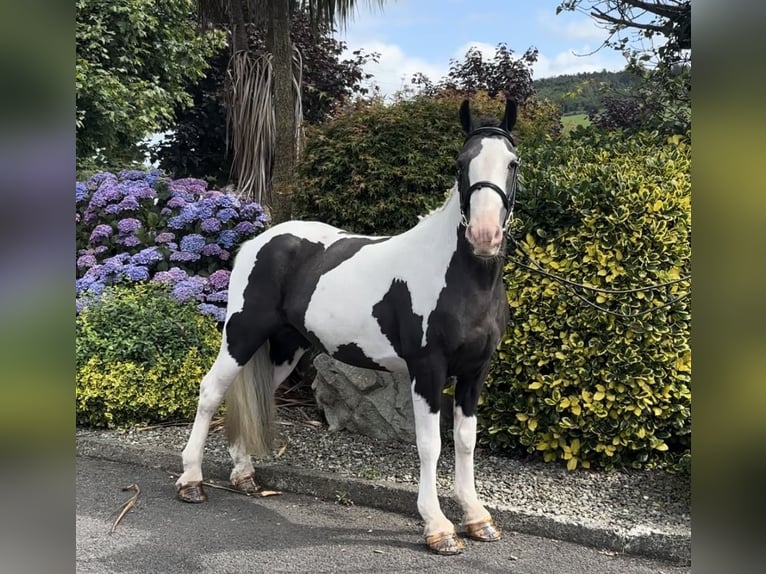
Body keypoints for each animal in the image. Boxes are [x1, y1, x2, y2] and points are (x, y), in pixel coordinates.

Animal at [177, 99, 520, 560]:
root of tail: (259, 241)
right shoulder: (427, 370)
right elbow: (430, 444)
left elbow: (465, 439)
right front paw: (438, 527)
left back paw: (244, 474)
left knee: (256, 394)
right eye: (460, 163)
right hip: (242, 335)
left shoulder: (474, 371)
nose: (485, 236)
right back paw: (191, 481)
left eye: (513, 163)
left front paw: (477, 517)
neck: (460, 278)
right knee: (212, 391)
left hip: (286, 348)